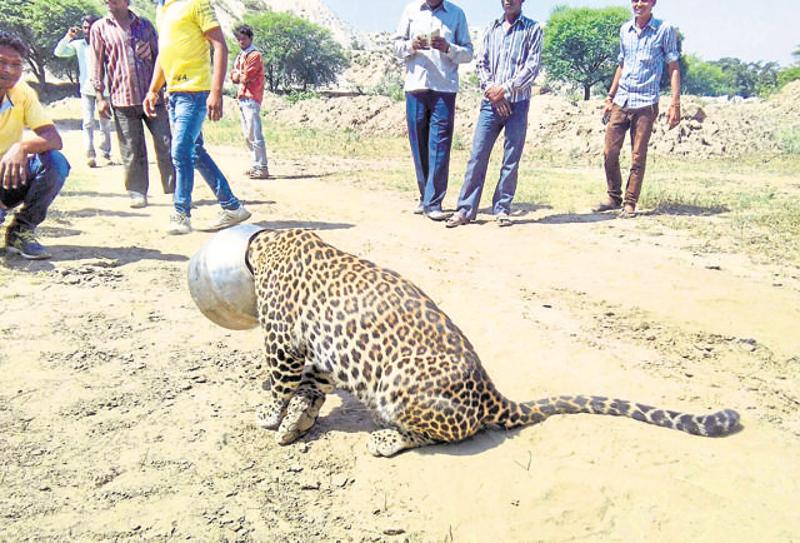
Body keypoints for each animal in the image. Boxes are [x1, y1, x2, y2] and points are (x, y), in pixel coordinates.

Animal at [244, 227, 736, 456]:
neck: (274, 241)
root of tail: (490, 392)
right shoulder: (316, 350)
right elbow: (310, 387)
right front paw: (297, 419)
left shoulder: (281, 340)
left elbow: (280, 383)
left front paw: (270, 414)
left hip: (400, 385)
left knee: (439, 434)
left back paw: (388, 439)